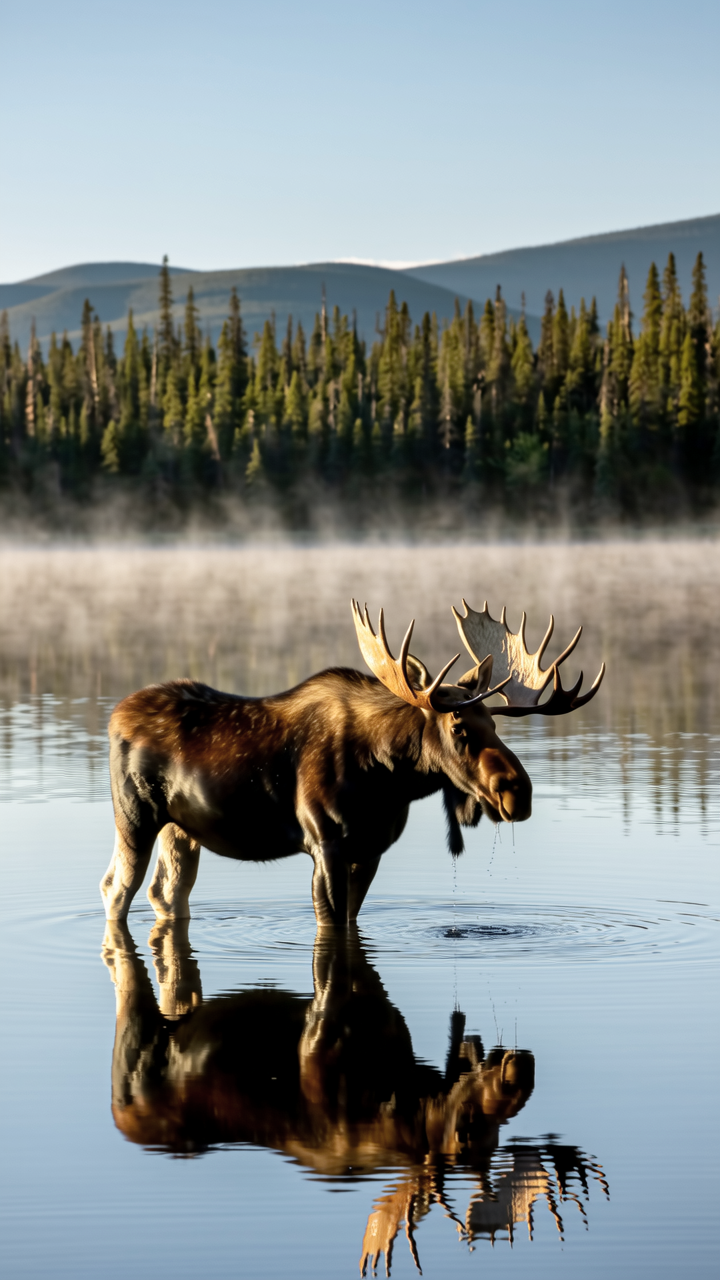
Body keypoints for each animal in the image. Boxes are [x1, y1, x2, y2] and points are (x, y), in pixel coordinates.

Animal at [100, 599, 604, 928]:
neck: (389, 780)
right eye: (459, 727)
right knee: (116, 887)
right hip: (135, 817)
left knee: (167, 892)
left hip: (181, 829)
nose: (517, 791)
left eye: (495, 724)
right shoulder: (326, 843)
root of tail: (114, 715)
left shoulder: (371, 849)